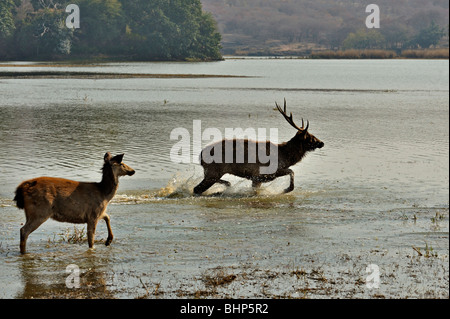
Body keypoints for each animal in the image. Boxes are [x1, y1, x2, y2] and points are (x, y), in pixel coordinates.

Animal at [193, 100, 324, 195]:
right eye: (311, 137)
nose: (321, 143)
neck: (285, 156)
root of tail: (200, 156)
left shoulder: (258, 178)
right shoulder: (261, 174)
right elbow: (292, 172)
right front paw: (285, 190)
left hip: (212, 173)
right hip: (213, 172)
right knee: (196, 189)